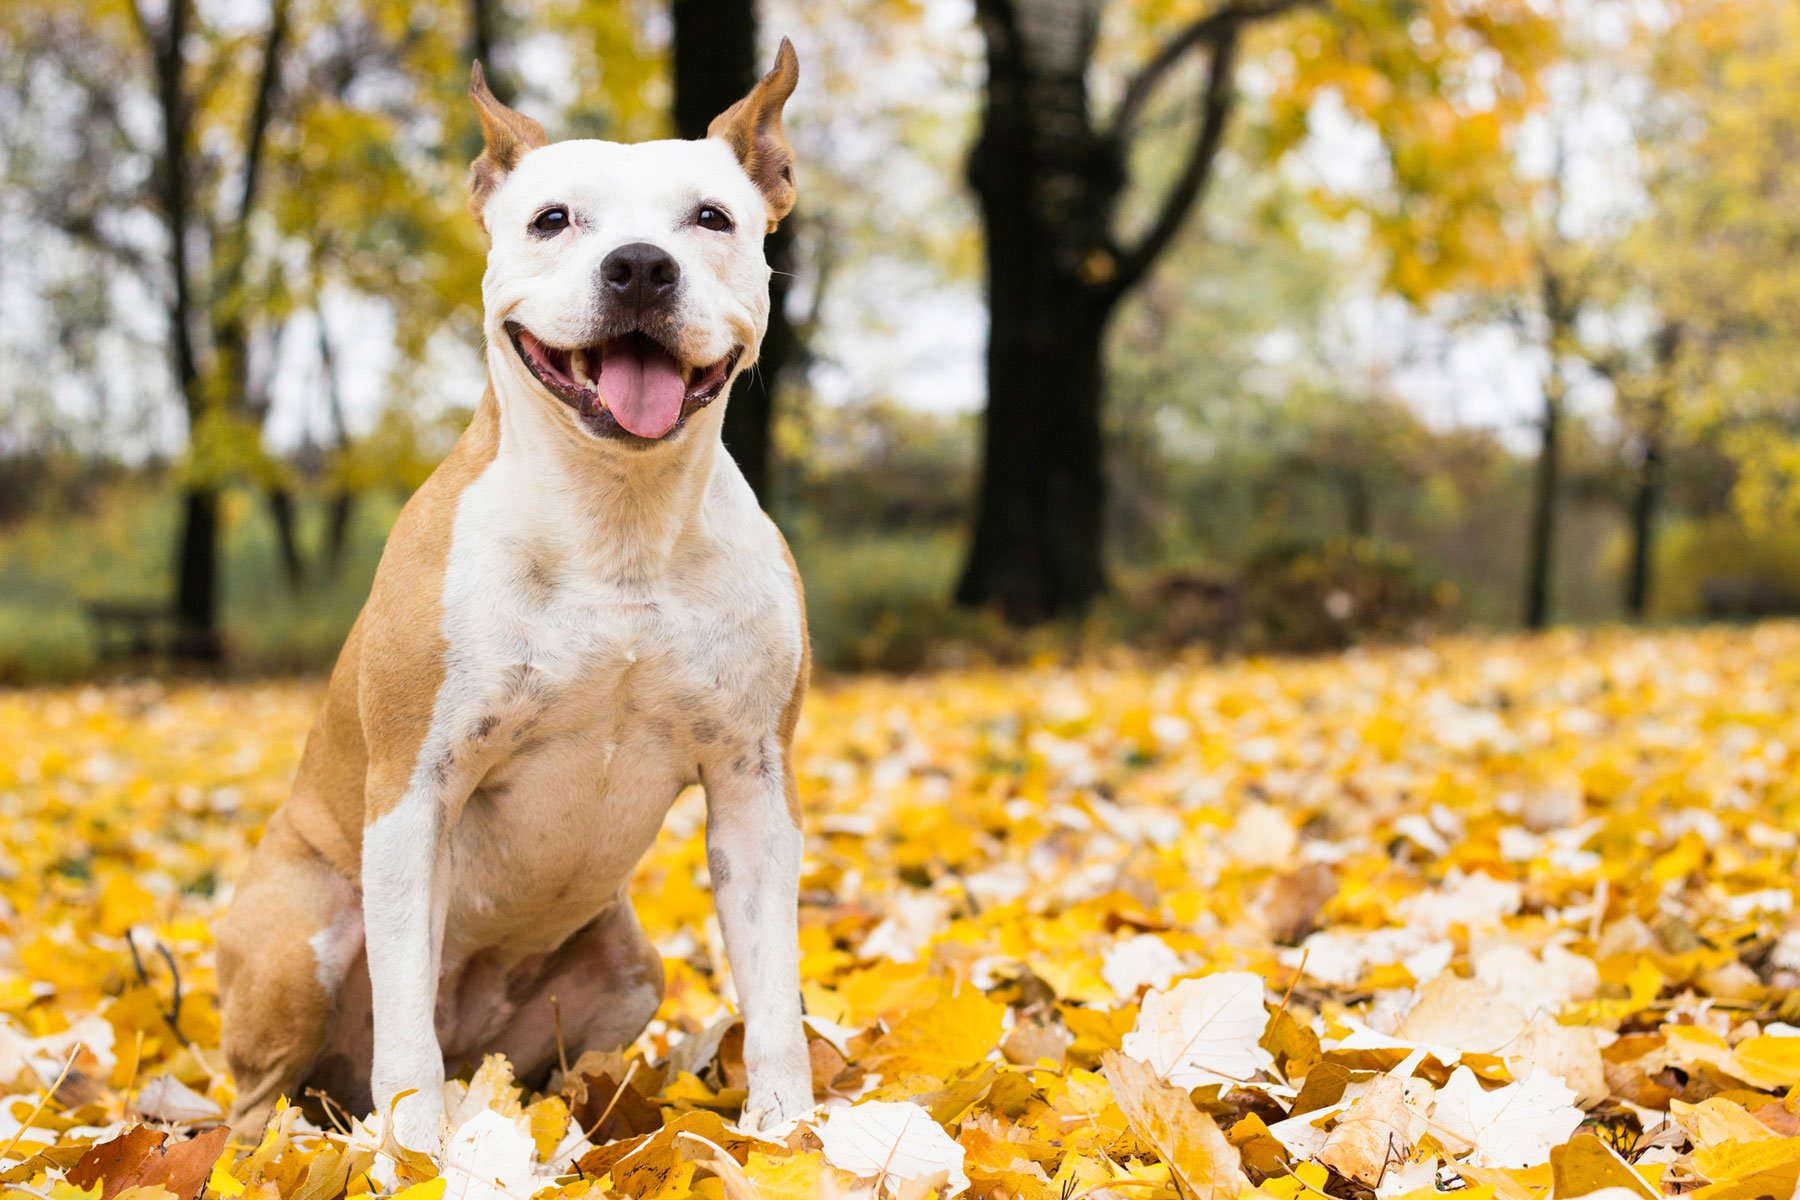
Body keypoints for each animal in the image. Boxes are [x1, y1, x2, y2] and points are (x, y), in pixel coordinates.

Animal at [217, 42, 817, 1151]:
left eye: (711, 218)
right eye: (552, 219)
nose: (638, 266)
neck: (617, 520)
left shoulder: (754, 783)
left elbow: (771, 987)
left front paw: (788, 1132)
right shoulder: (416, 789)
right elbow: (405, 1022)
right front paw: (416, 1156)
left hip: (629, 969)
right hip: (299, 942)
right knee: (266, 1095)